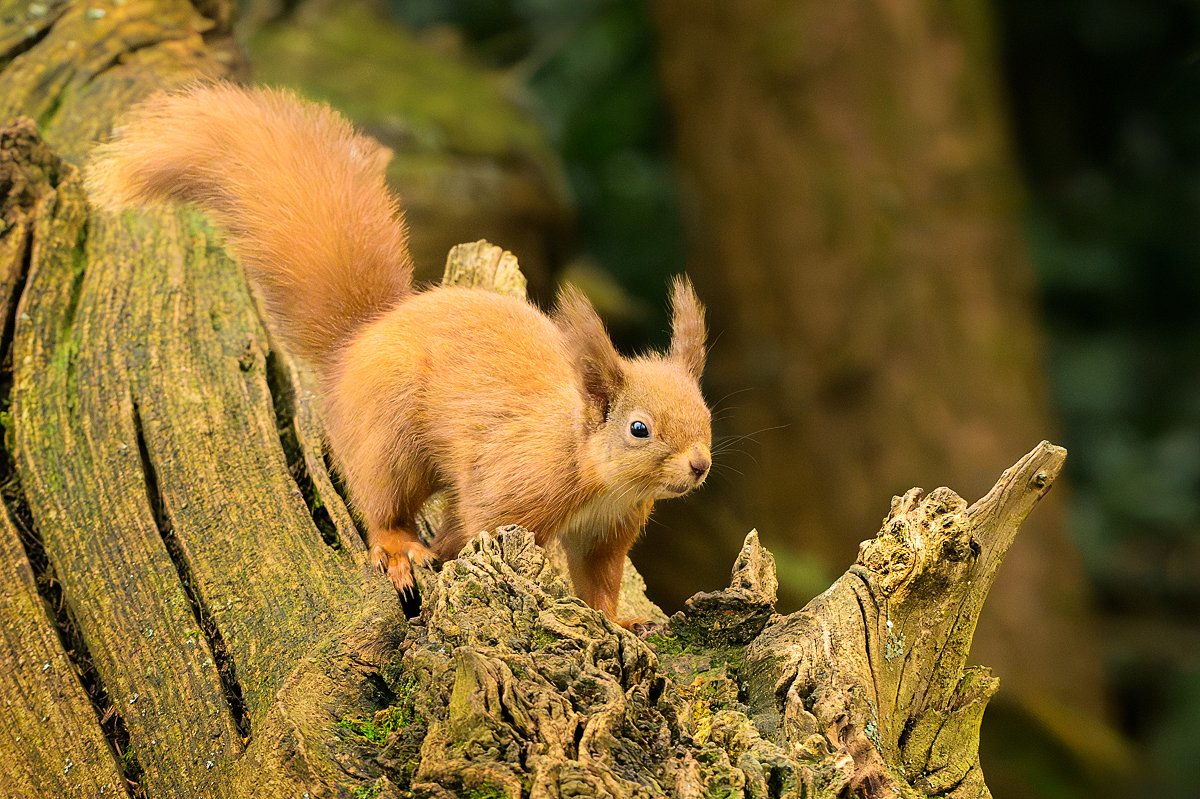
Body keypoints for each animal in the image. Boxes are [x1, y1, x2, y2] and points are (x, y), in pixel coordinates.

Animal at [85, 84, 712, 625]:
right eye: (638, 429)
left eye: (707, 416)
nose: (700, 465)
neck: (594, 472)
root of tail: (358, 342)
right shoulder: (510, 492)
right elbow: (470, 529)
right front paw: (444, 553)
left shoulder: (606, 533)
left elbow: (598, 584)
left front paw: (622, 623)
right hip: (391, 439)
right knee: (384, 505)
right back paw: (399, 549)